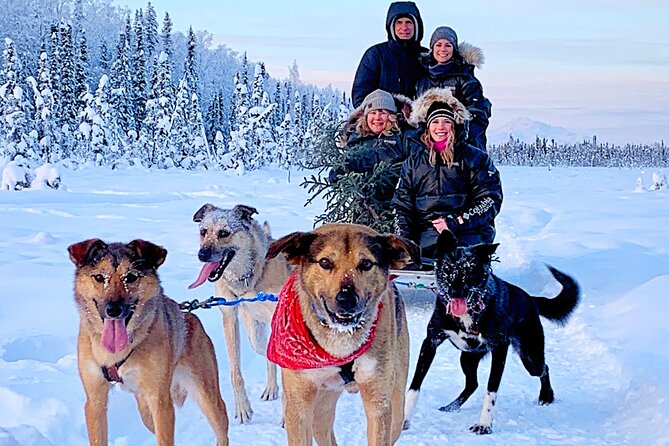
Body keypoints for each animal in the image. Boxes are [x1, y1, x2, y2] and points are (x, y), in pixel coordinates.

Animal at [68, 239, 230, 446]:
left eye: (131, 277)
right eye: (99, 277)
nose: (113, 310)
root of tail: (188, 314)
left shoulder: (160, 402)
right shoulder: (95, 400)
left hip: (207, 395)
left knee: (221, 429)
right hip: (145, 408)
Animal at [189, 204, 290, 424]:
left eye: (224, 233)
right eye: (203, 231)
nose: (202, 254)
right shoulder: (230, 316)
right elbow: (235, 372)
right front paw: (243, 408)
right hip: (256, 337)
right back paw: (271, 388)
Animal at [264, 223, 418, 446]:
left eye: (366, 263)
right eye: (325, 262)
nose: (346, 299)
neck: (340, 342)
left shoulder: (378, 402)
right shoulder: (298, 404)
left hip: (395, 405)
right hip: (322, 402)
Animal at [402, 232, 580, 434]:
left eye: (470, 271)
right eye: (448, 269)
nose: (456, 293)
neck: (470, 313)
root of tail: (530, 299)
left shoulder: (500, 348)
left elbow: (491, 390)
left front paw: (484, 424)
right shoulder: (431, 342)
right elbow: (415, 385)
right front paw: (404, 420)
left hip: (530, 357)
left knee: (544, 369)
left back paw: (546, 396)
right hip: (467, 358)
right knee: (472, 383)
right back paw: (452, 406)